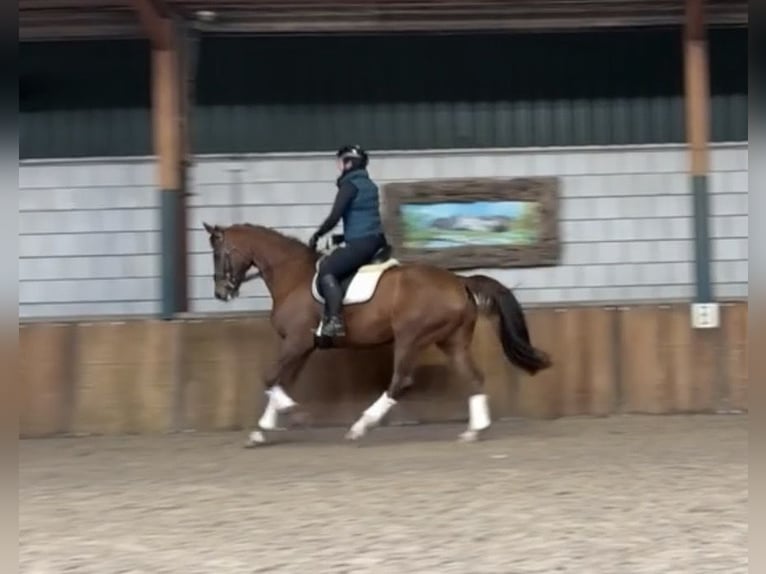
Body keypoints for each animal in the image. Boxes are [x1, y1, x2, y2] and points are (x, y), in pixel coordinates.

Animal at [202, 222, 552, 446]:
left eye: (220, 253)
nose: (221, 293)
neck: (294, 275)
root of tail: (459, 282)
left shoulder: (297, 342)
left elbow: (270, 378)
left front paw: (295, 415)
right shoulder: (302, 346)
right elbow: (280, 381)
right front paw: (261, 431)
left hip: (411, 336)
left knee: (401, 381)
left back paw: (361, 427)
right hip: (451, 340)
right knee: (474, 377)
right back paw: (474, 431)